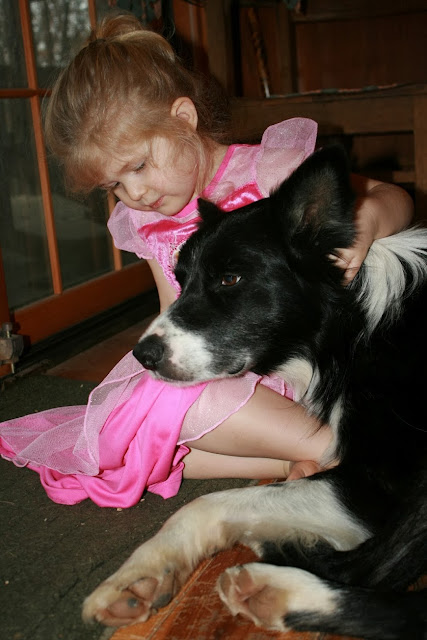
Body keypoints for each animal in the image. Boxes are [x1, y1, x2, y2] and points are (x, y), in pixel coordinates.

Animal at [83, 146, 427, 639]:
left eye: (230, 280)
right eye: (180, 280)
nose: (142, 356)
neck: (352, 326)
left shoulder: (377, 481)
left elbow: (204, 504)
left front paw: (137, 573)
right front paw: (142, 578)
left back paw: (277, 588)